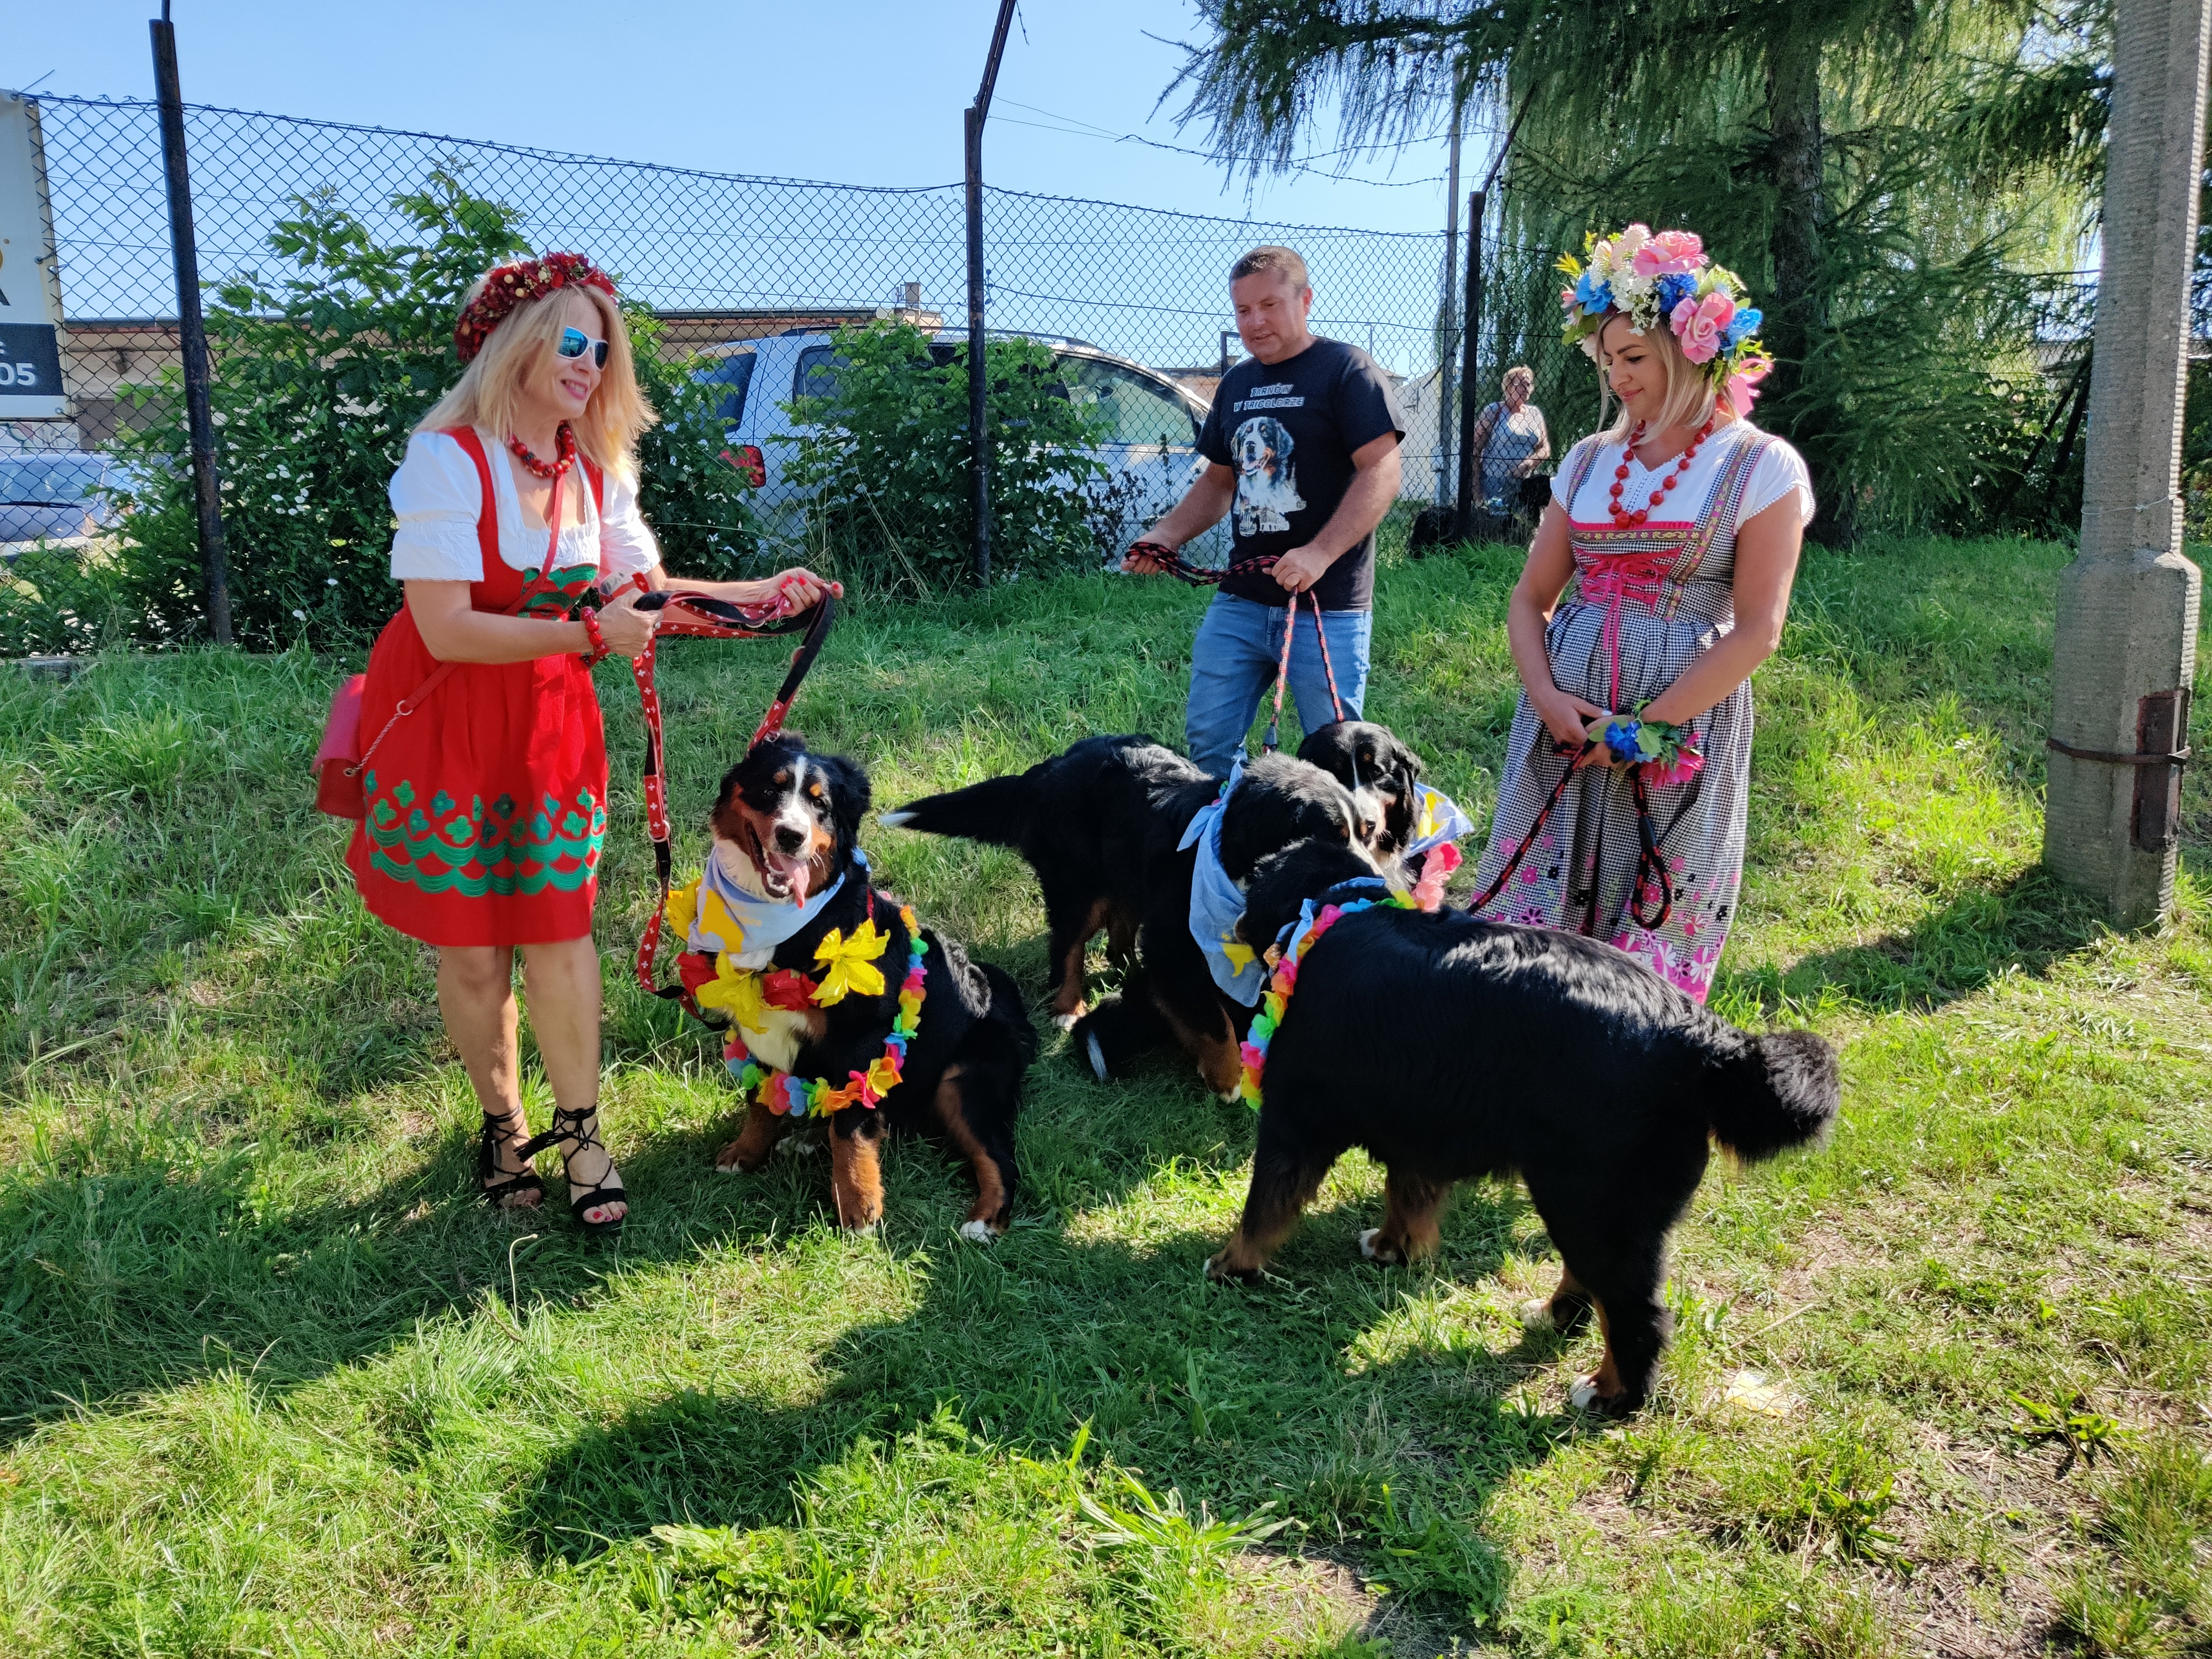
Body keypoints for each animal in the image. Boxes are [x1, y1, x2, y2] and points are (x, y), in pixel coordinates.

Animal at [699, 739, 1035, 1239]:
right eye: (769, 790)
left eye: (820, 805)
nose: (791, 836)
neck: (777, 923)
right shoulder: (758, 1028)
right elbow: (762, 1101)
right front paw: (745, 1153)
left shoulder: (862, 1036)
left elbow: (852, 1125)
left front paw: (858, 1205)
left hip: (963, 1084)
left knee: (998, 1157)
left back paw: (984, 1220)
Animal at [1221, 845, 1840, 1416]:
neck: (1336, 909)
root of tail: (1705, 1038)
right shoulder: (1419, 1123)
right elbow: (1407, 1196)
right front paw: (1394, 1248)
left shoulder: (1293, 1122)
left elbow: (1262, 1208)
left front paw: (1233, 1266)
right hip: (1589, 1203)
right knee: (1592, 1285)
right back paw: (1556, 1318)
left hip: (1590, 1201)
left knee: (1637, 1312)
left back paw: (1613, 1394)